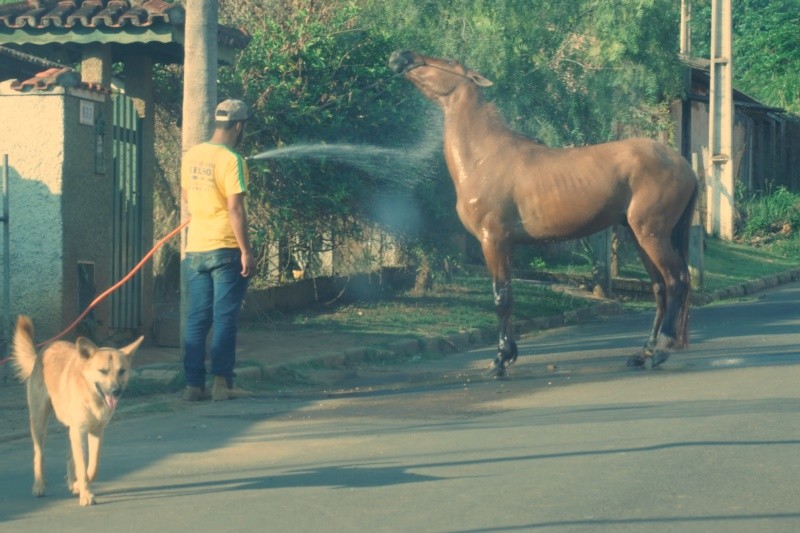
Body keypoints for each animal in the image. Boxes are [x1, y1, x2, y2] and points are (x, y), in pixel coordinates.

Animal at [11, 316, 143, 508]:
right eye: (103, 371)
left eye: (121, 371)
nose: (116, 391)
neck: (92, 396)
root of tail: (40, 354)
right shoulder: (80, 432)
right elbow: (82, 466)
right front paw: (85, 494)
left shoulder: (96, 433)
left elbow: (93, 466)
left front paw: (79, 486)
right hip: (39, 423)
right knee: (39, 455)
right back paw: (39, 486)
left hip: (71, 431)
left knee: (70, 456)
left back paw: (71, 482)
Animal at [390, 48, 700, 374]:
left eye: (449, 62)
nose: (401, 56)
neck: (484, 157)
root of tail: (685, 166)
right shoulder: (507, 245)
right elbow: (509, 296)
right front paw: (509, 353)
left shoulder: (493, 240)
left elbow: (501, 298)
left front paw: (500, 361)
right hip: (641, 237)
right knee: (660, 288)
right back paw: (642, 354)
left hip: (652, 234)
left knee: (676, 282)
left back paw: (662, 350)